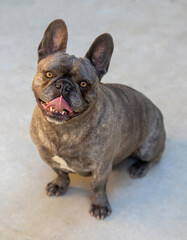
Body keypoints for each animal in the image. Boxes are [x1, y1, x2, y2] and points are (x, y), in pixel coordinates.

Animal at [30, 19, 165, 219]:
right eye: (49, 74)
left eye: (84, 84)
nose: (64, 85)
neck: (64, 129)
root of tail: (156, 110)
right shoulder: (47, 157)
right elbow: (61, 173)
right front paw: (59, 185)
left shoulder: (101, 167)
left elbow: (97, 186)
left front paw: (99, 205)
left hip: (147, 148)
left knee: (154, 158)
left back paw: (139, 167)